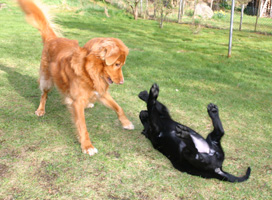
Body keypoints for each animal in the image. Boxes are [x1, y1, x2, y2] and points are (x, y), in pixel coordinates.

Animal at [17, 0, 134, 156]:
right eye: (117, 64)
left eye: (121, 64)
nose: (122, 82)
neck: (91, 71)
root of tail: (53, 39)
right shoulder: (78, 102)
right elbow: (83, 126)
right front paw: (87, 146)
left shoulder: (101, 92)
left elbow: (118, 107)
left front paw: (126, 123)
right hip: (47, 79)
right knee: (44, 94)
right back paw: (41, 109)